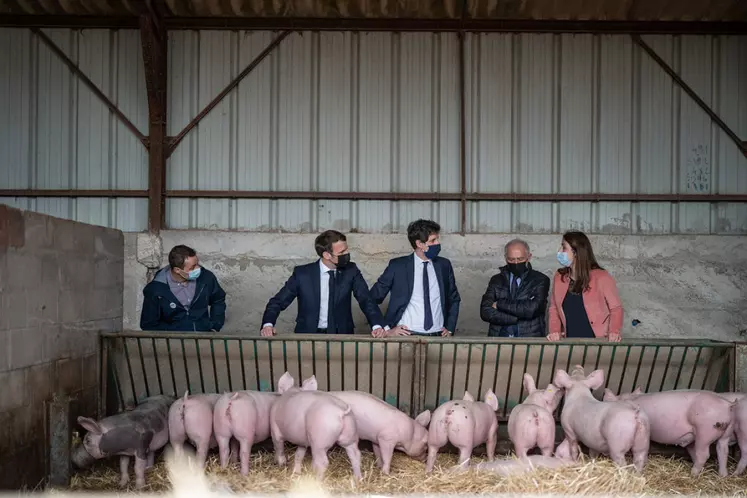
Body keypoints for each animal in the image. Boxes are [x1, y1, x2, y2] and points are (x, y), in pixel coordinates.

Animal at [604, 388, 732, 476]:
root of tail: (727, 404)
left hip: (705, 431)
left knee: (704, 454)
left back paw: (693, 474)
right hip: (726, 432)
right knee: (722, 450)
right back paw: (722, 475)